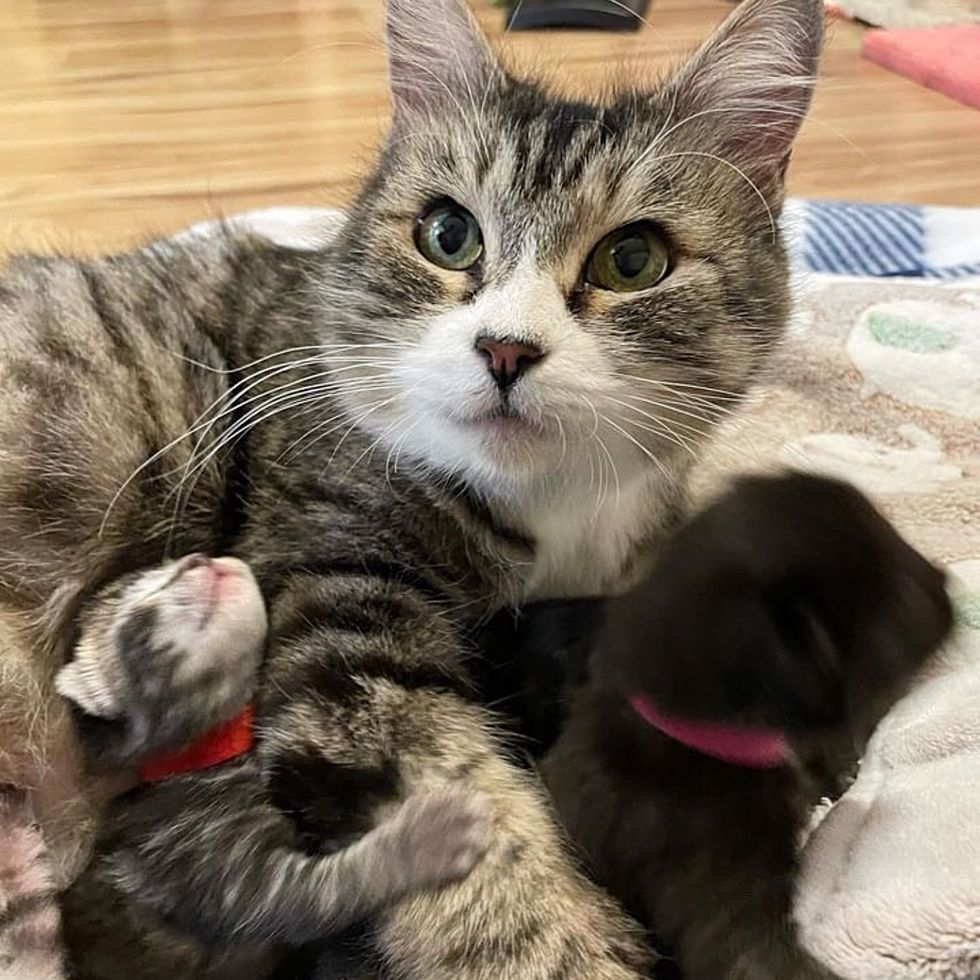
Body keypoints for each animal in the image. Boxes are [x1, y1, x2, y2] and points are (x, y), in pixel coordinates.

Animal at [0, 0, 824, 976]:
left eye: (633, 259)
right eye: (448, 235)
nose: (505, 349)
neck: (555, 508)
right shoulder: (338, 610)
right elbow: (488, 871)